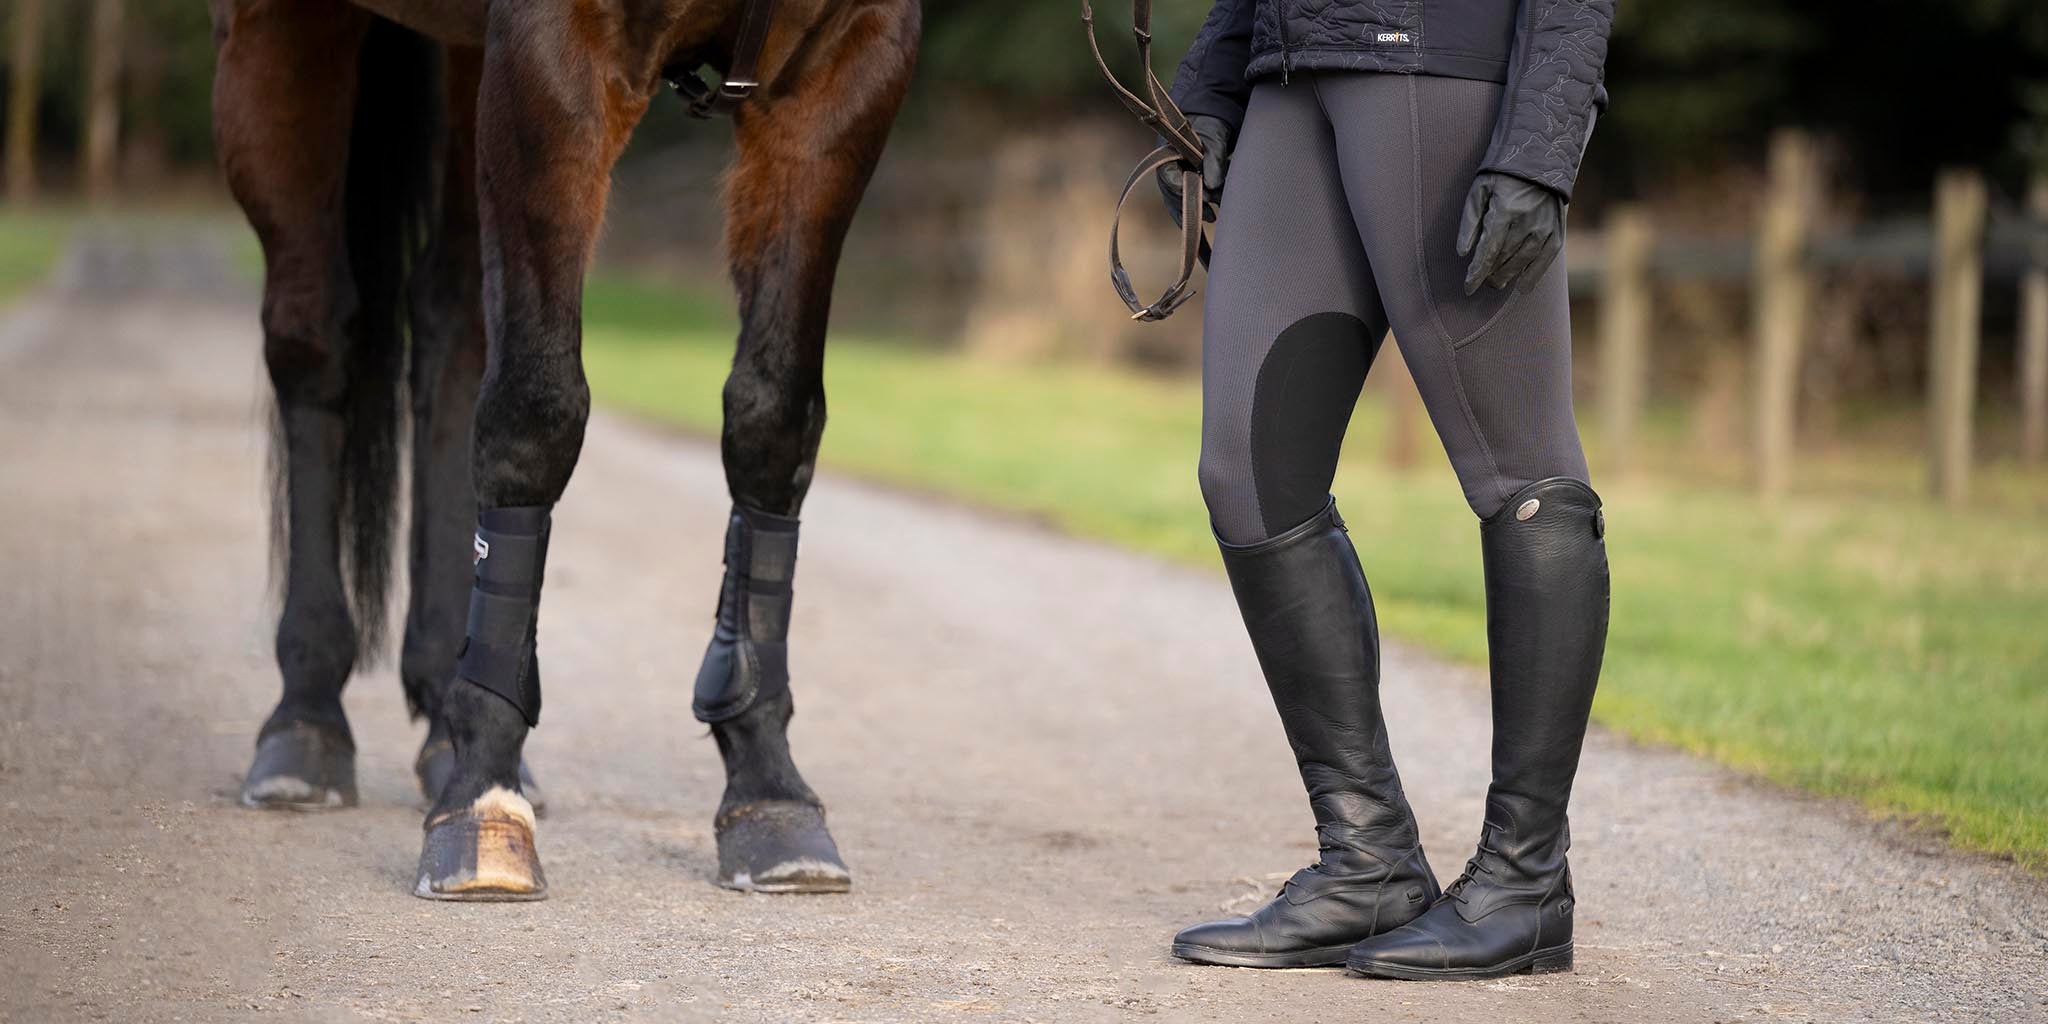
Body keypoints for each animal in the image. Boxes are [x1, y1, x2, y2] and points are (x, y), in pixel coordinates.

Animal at [201, 0, 921, 897]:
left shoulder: (849, 68)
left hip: (463, 64)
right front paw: (483, 802)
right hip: (283, 31)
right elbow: (535, 410)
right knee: (313, 339)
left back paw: (441, 717)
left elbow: (774, 414)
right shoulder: (553, 56)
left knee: (451, 323)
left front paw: (769, 788)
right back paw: (305, 721)